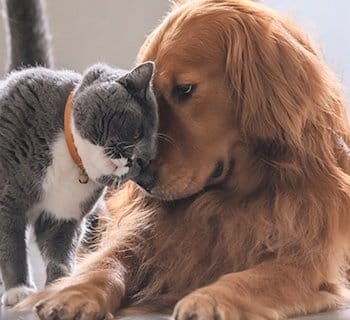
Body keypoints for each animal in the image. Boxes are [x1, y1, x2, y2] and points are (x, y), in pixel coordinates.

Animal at [0, 61, 157, 306]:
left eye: (142, 162)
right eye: (136, 133)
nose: (131, 161)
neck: (70, 158)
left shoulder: (64, 216)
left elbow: (60, 253)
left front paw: (59, 286)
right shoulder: (7, 198)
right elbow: (11, 244)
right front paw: (19, 289)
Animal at [18, 0, 350, 320]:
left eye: (185, 89)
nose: (140, 180)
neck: (228, 198)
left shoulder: (307, 259)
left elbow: (251, 277)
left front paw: (209, 299)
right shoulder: (144, 234)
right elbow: (109, 261)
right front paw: (74, 292)